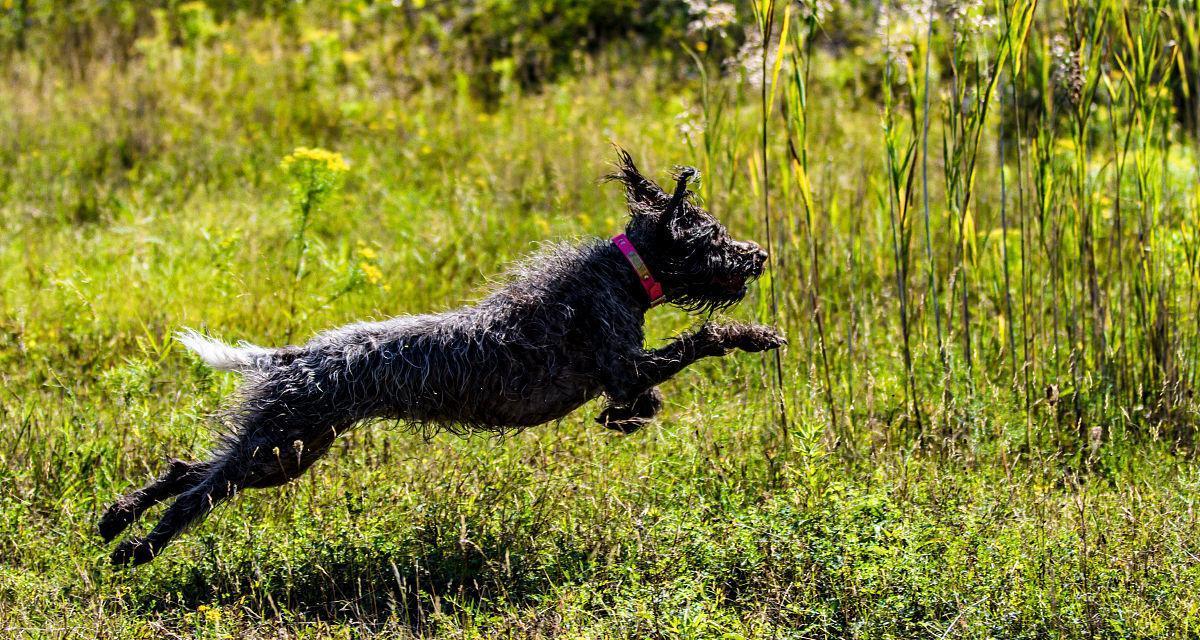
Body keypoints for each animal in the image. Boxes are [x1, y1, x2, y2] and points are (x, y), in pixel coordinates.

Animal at [100, 152, 787, 566]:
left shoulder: (626, 372)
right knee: (195, 495)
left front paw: (630, 417)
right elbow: (701, 339)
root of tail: (297, 354)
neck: (624, 271)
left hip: (289, 452)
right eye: (713, 239)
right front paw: (755, 335)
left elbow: (651, 391)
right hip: (279, 444)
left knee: (188, 468)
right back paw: (135, 549)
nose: (758, 256)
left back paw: (115, 519)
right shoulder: (626, 364)